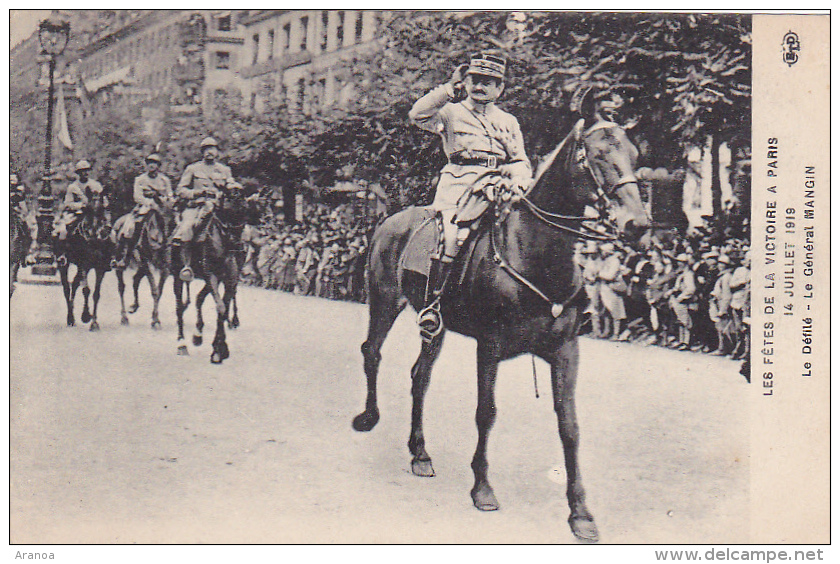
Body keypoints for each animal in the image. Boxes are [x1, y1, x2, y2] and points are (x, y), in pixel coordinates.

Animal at [55, 193, 116, 330]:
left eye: (107, 208)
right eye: (90, 210)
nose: (107, 229)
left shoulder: (100, 268)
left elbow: (96, 293)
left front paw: (94, 323)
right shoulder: (83, 265)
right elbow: (86, 290)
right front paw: (86, 316)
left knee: (74, 283)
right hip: (64, 265)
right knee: (66, 288)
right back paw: (70, 318)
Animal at [172, 184, 260, 362]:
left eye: (245, 211)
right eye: (227, 211)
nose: (238, 245)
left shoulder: (229, 279)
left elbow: (223, 308)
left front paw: (219, 347)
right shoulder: (211, 275)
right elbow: (220, 307)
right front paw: (219, 350)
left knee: (198, 298)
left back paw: (198, 334)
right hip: (177, 275)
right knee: (179, 307)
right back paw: (182, 344)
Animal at [352, 112, 648, 540]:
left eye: (634, 154)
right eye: (596, 156)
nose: (637, 224)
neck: (535, 253)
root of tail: (390, 219)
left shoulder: (566, 351)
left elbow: (570, 425)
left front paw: (580, 513)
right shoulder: (489, 347)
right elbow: (486, 412)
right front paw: (482, 488)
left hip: (435, 326)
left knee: (419, 376)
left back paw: (420, 452)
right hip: (384, 300)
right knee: (372, 352)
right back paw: (369, 417)